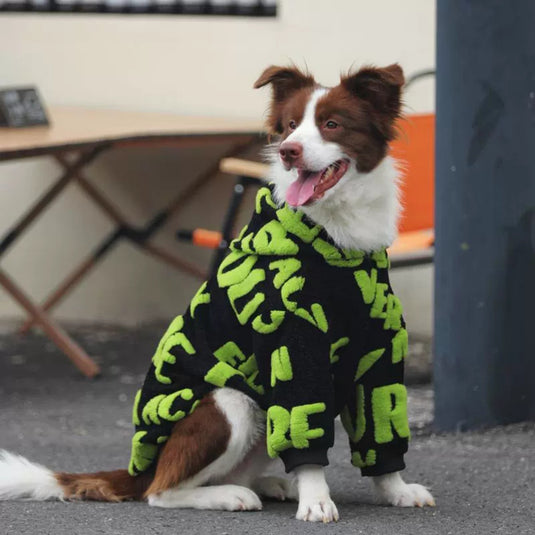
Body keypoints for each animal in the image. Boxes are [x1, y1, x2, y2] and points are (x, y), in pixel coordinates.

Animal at [0, 63, 436, 524]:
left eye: (332, 124)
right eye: (290, 126)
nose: (289, 151)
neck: (336, 241)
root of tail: (139, 470)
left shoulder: (380, 348)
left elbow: (380, 427)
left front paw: (395, 490)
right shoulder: (293, 348)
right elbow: (305, 435)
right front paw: (316, 499)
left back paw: (270, 484)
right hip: (230, 403)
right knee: (161, 490)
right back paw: (229, 495)